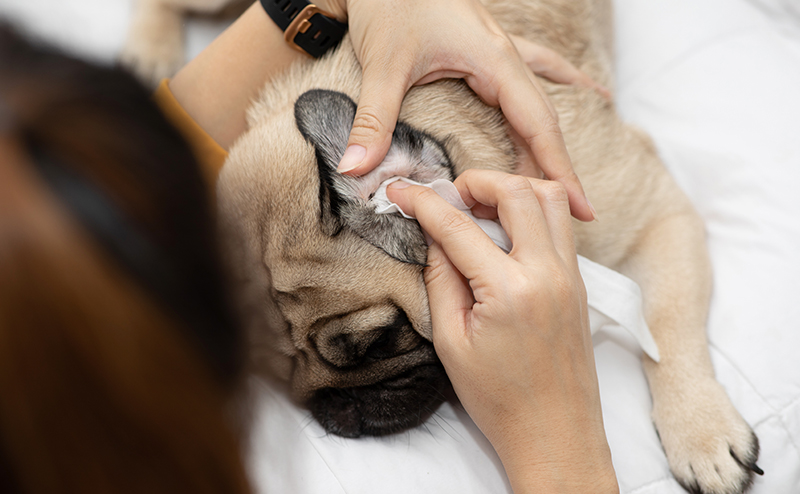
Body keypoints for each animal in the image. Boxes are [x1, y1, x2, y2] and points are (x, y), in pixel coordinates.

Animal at [123, 0, 764, 490]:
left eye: (380, 342)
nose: (336, 406)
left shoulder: (657, 215)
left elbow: (667, 320)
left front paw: (702, 433)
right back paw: (147, 51)